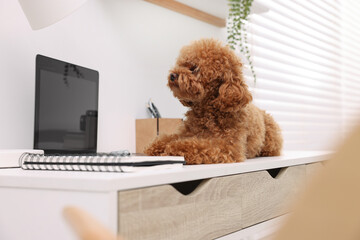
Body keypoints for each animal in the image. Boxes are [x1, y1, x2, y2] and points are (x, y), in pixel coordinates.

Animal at [143, 38, 282, 164]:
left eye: (194, 68)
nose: (172, 75)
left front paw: (173, 147)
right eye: (182, 64)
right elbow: (168, 138)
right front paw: (156, 146)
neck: (207, 111)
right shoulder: (186, 132)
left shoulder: (227, 146)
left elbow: (195, 145)